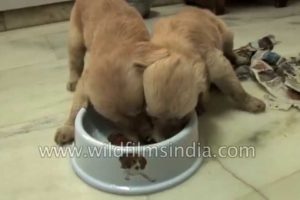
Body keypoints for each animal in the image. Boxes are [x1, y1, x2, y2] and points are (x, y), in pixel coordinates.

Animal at [54, 0, 168, 145]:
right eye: (116, 122)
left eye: (143, 107)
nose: (144, 139)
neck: (115, 43)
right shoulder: (84, 83)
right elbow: (76, 107)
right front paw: (67, 128)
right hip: (75, 40)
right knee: (75, 63)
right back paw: (72, 81)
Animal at [144, 7, 266, 139]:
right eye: (152, 117)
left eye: (181, 117)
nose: (162, 138)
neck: (172, 49)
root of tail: (198, 9)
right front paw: (199, 106)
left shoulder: (217, 64)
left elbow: (237, 90)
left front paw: (252, 103)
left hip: (227, 34)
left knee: (230, 52)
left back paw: (240, 59)